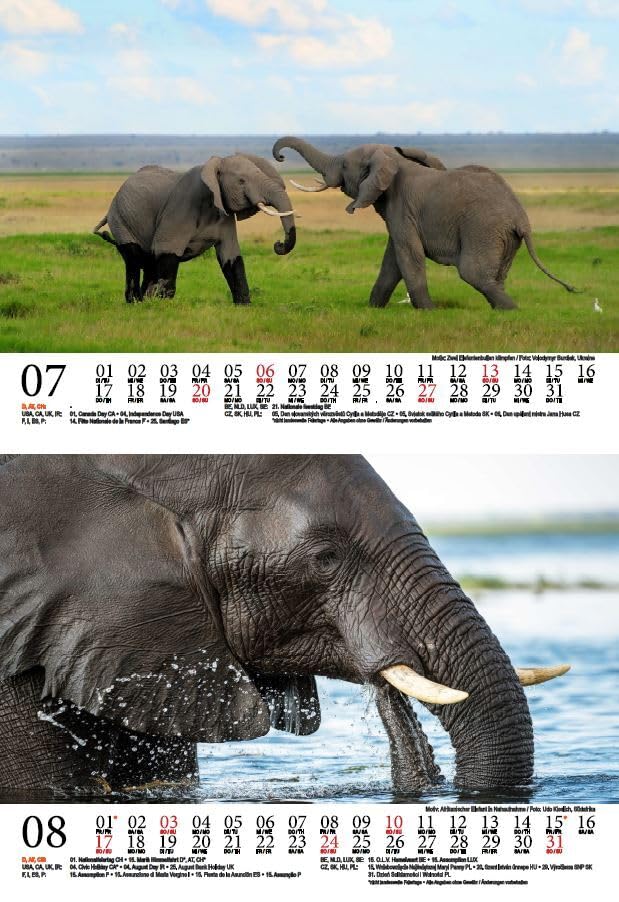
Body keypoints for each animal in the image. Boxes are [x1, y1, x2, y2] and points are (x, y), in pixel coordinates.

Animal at [93, 153, 297, 304]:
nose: (278, 244)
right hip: (121, 219)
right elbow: (166, 250)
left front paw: (244, 305)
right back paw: (136, 302)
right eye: (241, 181)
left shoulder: (223, 213)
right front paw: (162, 304)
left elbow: (231, 256)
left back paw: (144, 300)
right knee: (134, 258)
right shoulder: (179, 209)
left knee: (149, 262)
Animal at [273, 137, 576, 310]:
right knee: (495, 276)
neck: (393, 159)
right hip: (505, 238)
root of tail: (522, 218)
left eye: (345, 165)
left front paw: (427, 311)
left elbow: (409, 255)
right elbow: (393, 259)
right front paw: (373, 308)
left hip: (483, 229)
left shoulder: (402, 207)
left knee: (473, 273)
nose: (280, 156)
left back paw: (512, 310)